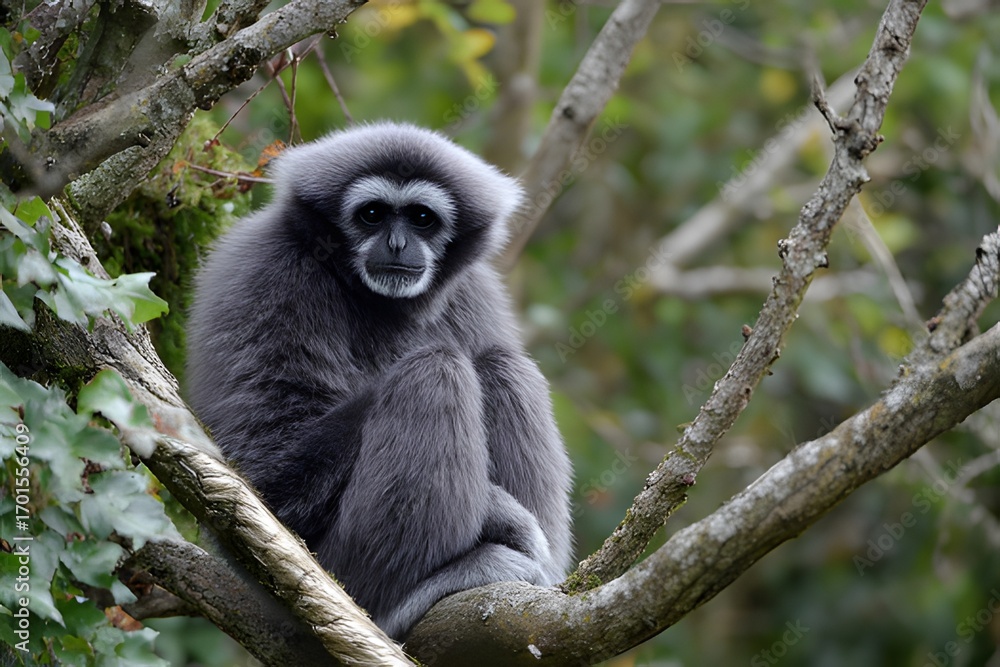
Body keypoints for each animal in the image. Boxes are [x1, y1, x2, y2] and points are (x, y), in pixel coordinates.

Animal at [185, 121, 572, 640]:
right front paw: (498, 511)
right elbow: (266, 478)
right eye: (372, 214)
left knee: (501, 364)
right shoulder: (267, 274)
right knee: (436, 368)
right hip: (332, 561)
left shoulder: (473, 290)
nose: (396, 244)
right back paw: (397, 602)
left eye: (422, 218)